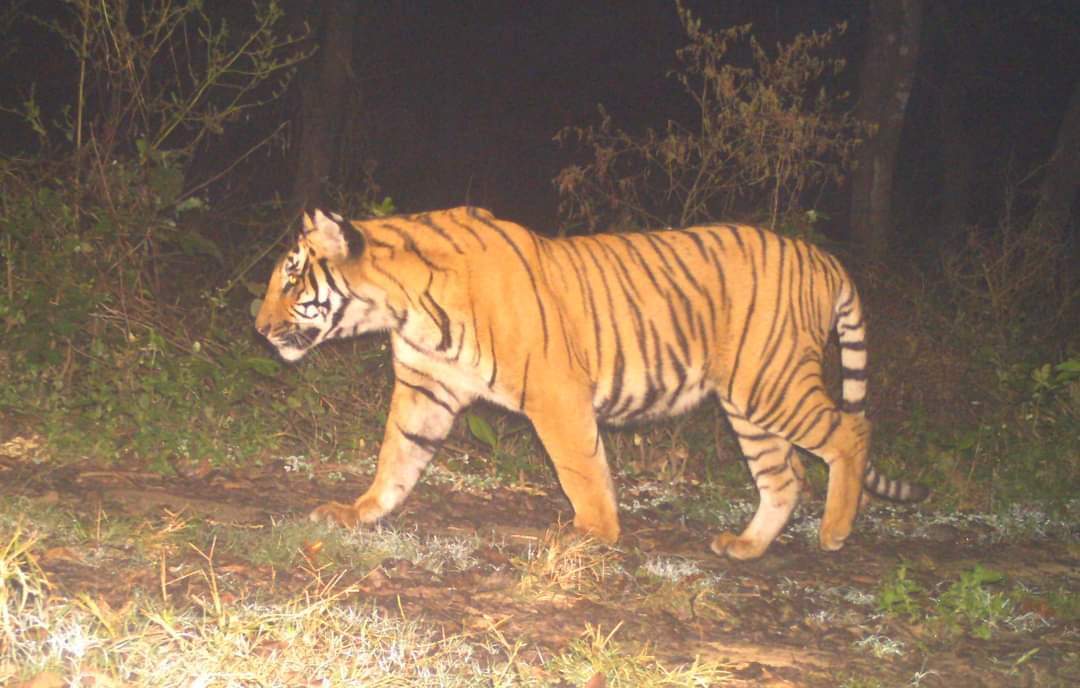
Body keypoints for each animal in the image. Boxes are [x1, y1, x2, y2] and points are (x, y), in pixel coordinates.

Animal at [255, 206, 927, 560]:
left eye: (290, 280)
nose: (258, 328)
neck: (401, 307)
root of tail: (825, 257)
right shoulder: (426, 391)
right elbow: (397, 458)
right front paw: (359, 512)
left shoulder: (555, 392)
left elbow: (580, 466)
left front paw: (594, 532)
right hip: (747, 404)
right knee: (784, 478)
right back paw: (745, 545)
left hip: (773, 383)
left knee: (850, 433)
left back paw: (836, 531)